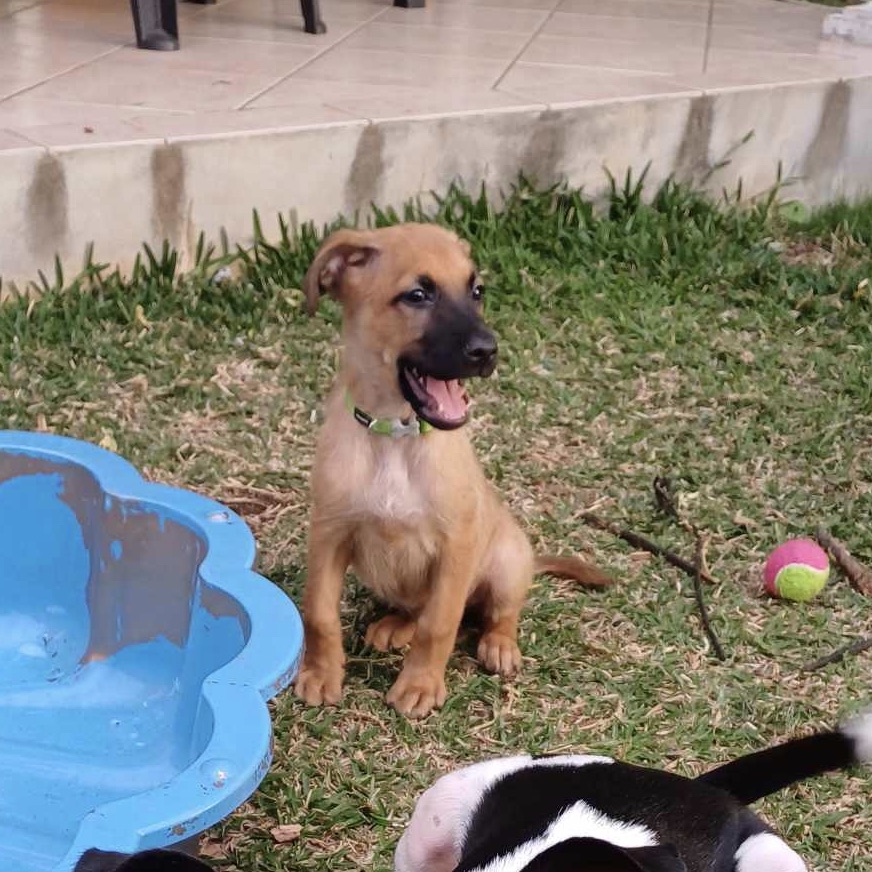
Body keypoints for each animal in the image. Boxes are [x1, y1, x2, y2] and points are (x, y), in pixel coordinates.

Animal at [292, 223, 608, 716]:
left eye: (477, 291)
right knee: (421, 608)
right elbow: (320, 614)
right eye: (418, 295)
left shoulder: (456, 546)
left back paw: (499, 645)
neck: (394, 438)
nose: (488, 351)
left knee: (494, 613)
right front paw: (321, 674)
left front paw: (420, 685)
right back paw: (394, 625)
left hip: (507, 561)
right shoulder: (329, 534)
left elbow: (439, 623)